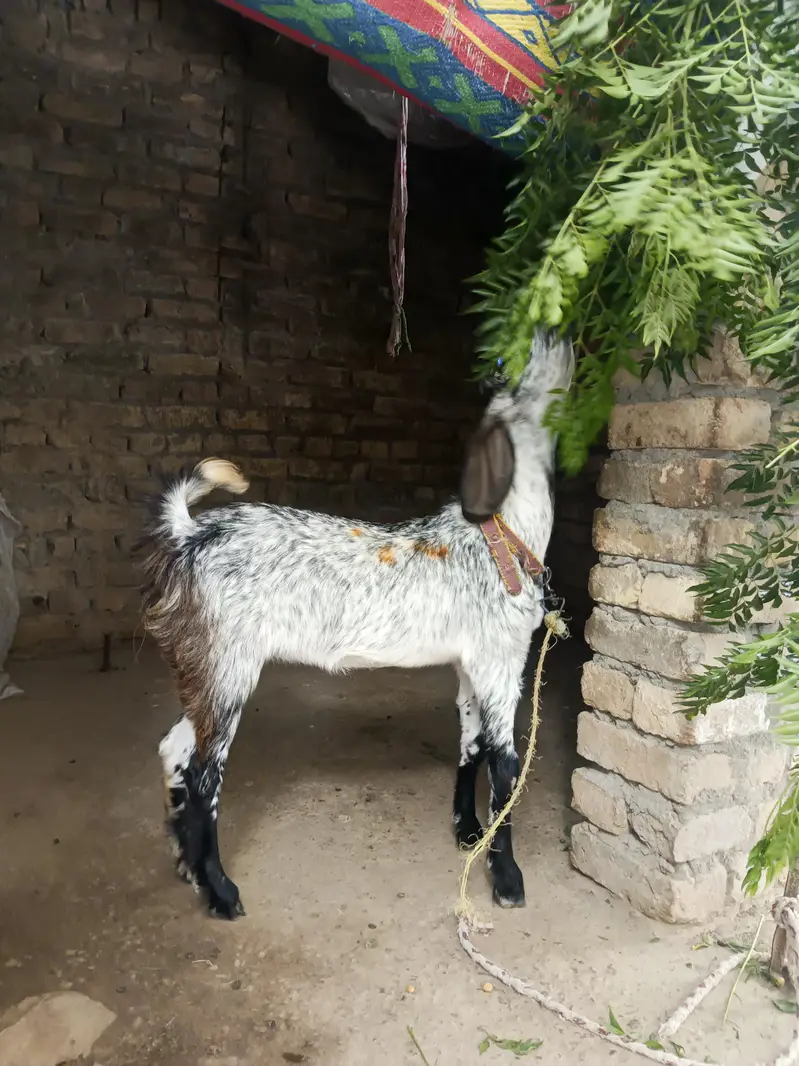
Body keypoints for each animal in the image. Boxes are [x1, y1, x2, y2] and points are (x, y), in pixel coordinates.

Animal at [141, 329, 574, 918]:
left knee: (175, 748)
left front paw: (466, 831)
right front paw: (506, 876)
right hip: (229, 664)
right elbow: (505, 764)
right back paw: (222, 891)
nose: (555, 332)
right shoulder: (501, 661)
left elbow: (471, 743)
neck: (502, 537)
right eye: (515, 367)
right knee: (207, 775)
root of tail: (189, 534)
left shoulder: (470, 662)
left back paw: (188, 866)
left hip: (204, 668)